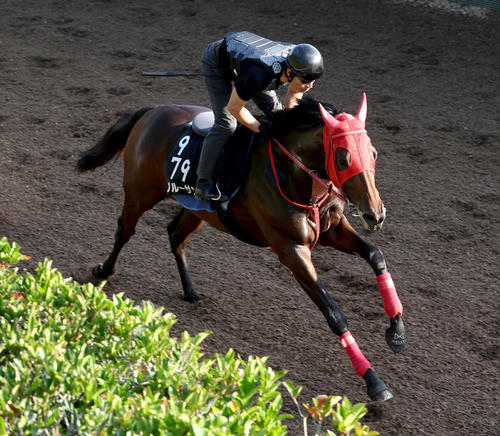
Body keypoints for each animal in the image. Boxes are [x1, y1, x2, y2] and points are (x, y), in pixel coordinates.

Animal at [77, 94, 406, 402]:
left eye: (373, 153)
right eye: (343, 158)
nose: (374, 214)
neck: (293, 173)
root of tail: (153, 110)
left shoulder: (332, 230)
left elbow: (375, 255)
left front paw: (397, 332)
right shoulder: (291, 249)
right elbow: (334, 314)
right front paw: (374, 382)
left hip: (197, 210)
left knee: (175, 235)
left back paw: (190, 290)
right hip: (140, 193)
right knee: (125, 230)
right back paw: (103, 271)